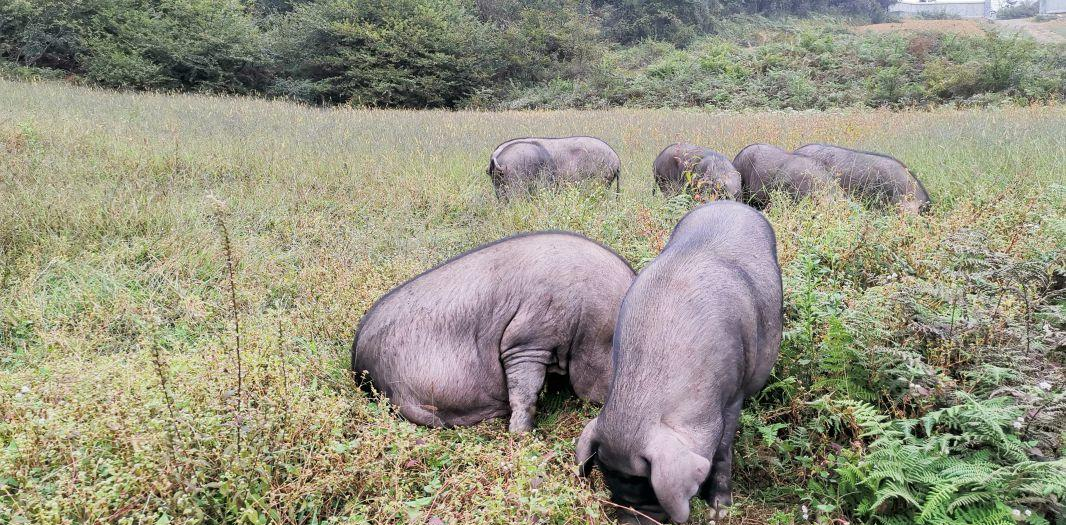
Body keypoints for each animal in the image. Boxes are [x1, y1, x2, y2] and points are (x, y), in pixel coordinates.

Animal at [575, 199, 784, 520]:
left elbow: (723, 447)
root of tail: (731, 203)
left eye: (651, 493)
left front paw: (719, 511)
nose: (629, 521)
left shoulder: (733, 394)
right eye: (611, 485)